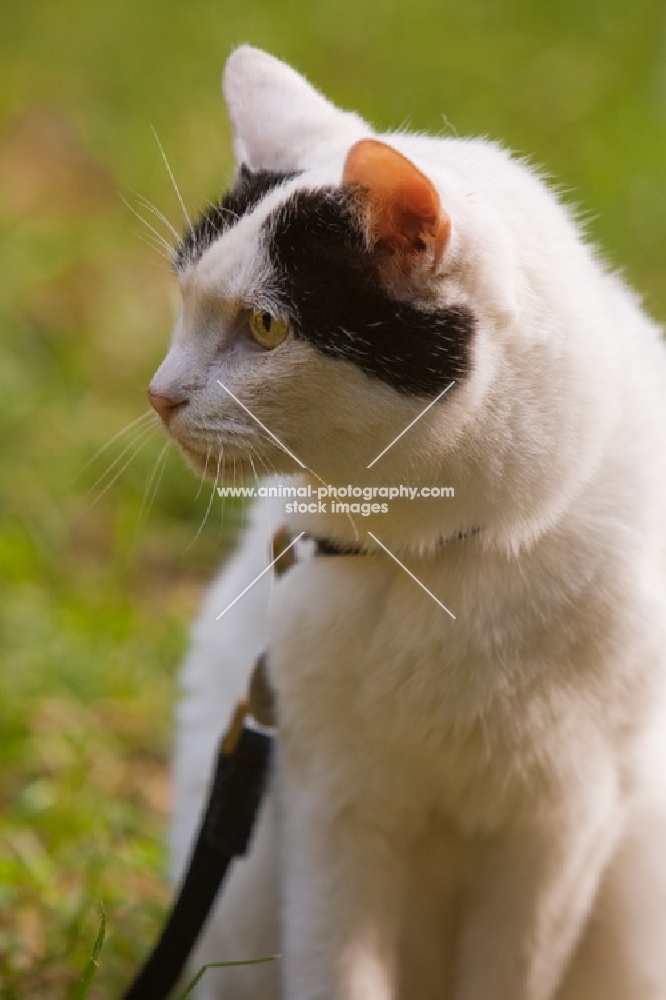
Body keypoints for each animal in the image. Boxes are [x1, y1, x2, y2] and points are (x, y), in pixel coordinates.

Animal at [147, 47, 666, 1000]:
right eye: (183, 298)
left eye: (266, 325)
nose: (159, 396)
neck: (438, 562)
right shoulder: (333, 804)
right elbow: (337, 962)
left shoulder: (560, 827)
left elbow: (514, 969)